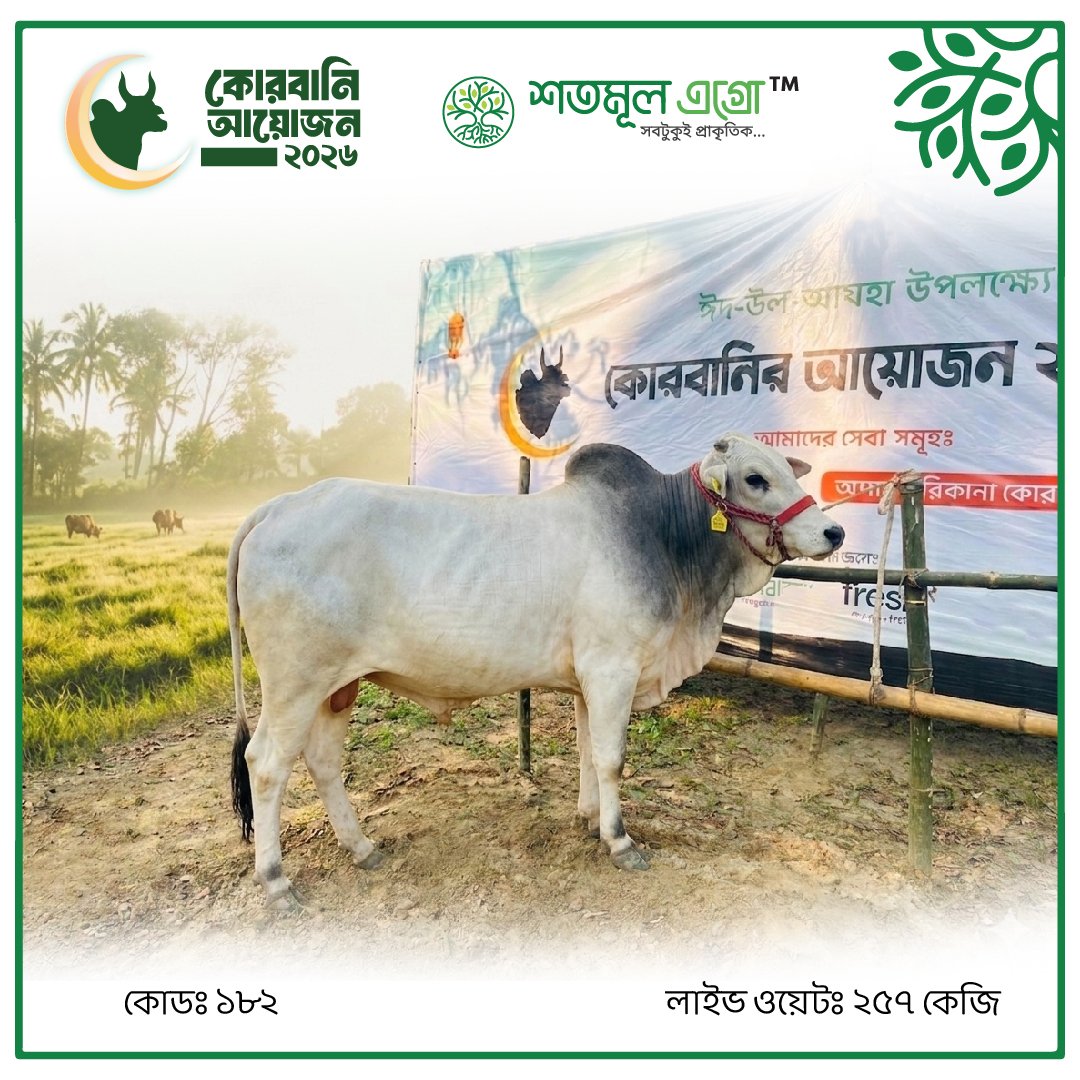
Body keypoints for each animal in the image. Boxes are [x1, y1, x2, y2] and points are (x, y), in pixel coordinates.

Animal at [228, 433, 844, 910]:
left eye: (787, 470)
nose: (832, 533)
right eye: (755, 478)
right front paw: (620, 841)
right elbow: (612, 759)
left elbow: (588, 753)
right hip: (293, 684)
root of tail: (278, 506)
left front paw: (589, 819)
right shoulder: (613, 669)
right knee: (266, 766)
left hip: (337, 686)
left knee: (323, 762)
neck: (668, 540)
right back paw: (277, 883)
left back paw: (361, 848)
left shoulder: (588, 680)